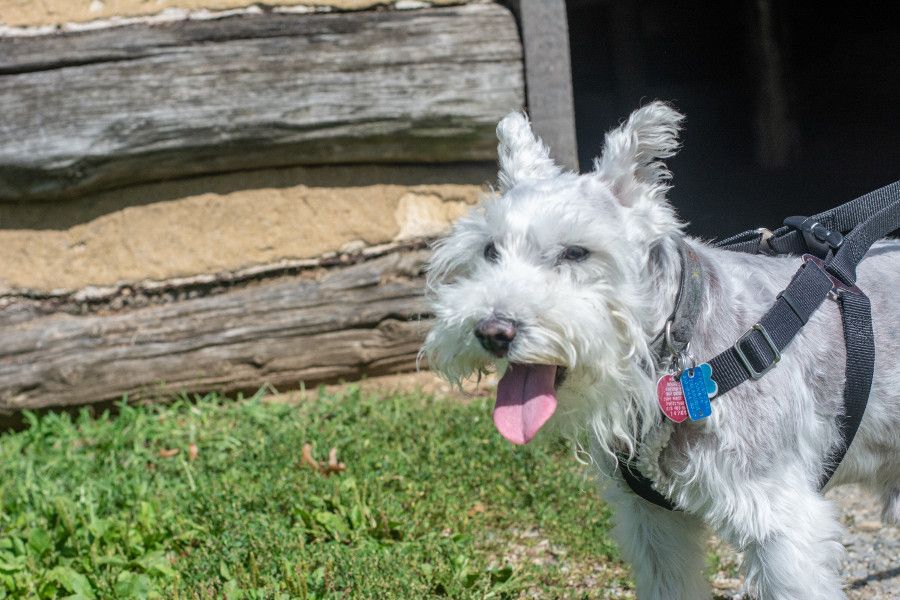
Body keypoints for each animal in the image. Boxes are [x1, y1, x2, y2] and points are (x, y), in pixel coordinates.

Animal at [424, 103, 900, 600]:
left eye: (576, 252)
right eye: (490, 250)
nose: (492, 331)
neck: (679, 357)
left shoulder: (782, 525)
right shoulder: (652, 527)